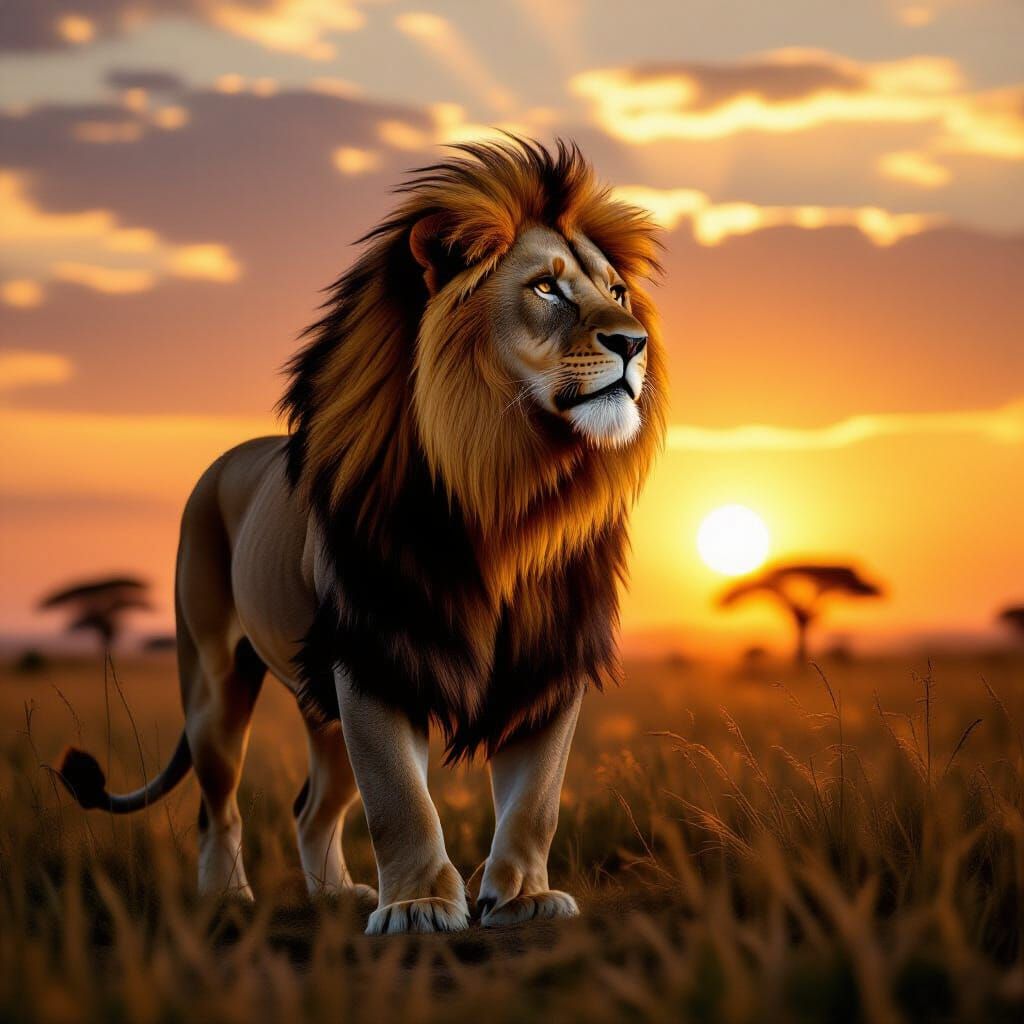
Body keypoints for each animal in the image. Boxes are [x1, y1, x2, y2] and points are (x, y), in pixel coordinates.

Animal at [57, 138, 667, 934]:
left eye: (618, 293)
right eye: (546, 289)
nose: (634, 342)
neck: (510, 492)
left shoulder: (548, 657)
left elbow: (536, 798)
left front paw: (522, 898)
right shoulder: (373, 649)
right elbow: (399, 800)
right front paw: (417, 906)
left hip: (321, 704)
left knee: (311, 807)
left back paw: (335, 895)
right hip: (217, 684)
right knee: (218, 805)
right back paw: (226, 898)